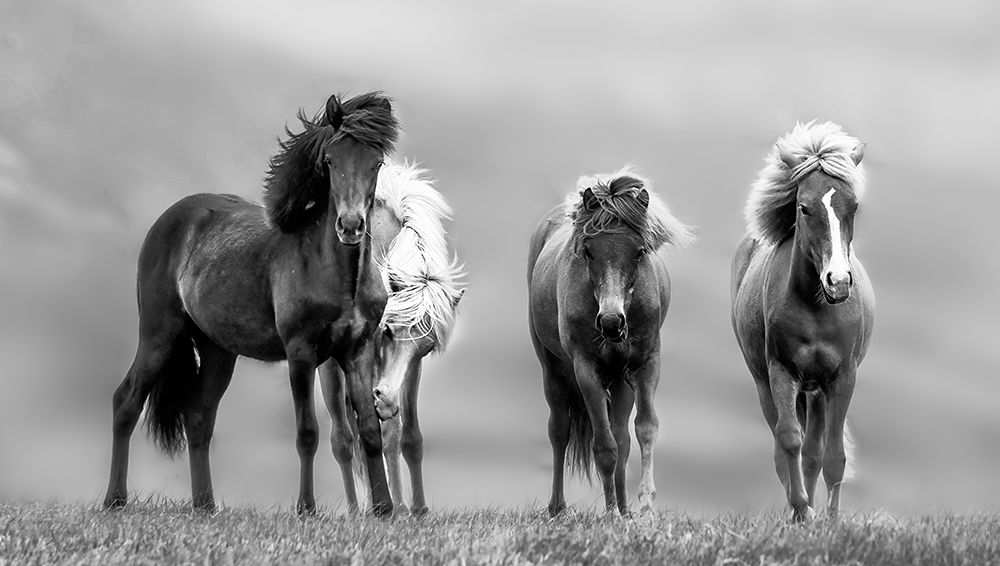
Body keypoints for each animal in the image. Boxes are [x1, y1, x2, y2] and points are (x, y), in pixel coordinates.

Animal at [102, 92, 398, 520]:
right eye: (330, 160)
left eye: (376, 163)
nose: (350, 226)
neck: (338, 276)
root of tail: (168, 220)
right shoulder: (301, 354)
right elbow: (307, 432)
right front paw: (306, 509)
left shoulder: (357, 351)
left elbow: (370, 430)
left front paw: (385, 511)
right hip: (159, 336)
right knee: (126, 401)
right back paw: (114, 500)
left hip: (217, 350)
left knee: (198, 417)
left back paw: (205, 506)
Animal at [320, 161, 464, 520]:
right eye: (386, 331)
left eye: (427, 347)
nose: (384, 399)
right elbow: (361, 434)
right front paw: (390, 506)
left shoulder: (409, 370)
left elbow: (403, 435)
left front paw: (414, 508)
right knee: (343, 439)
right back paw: (357, 509)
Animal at [528, 166, 692, 516]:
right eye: (589, 251)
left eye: (640, 251)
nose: (611, 322)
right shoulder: (586, 371)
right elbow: (604, 446)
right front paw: (611, 513)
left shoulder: (646, 365)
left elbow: (645, 429)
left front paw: (644, 506)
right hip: (554, 369)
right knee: (560, 431)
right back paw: (558, 507)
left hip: (619, 380)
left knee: (622, 437)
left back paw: (625, 507)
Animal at [728, 121, 876, 524]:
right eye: (804, 208)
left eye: (853, 206)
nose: (838, 282)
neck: (817, 307)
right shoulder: (782, 372)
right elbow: (789, 440)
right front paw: (800, 509)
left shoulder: (842, 378)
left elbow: (833, 455)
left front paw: (830, 520)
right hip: (768, 384)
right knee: (786, 449)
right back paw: (800, 510)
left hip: (817, 392)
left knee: (814, 452)